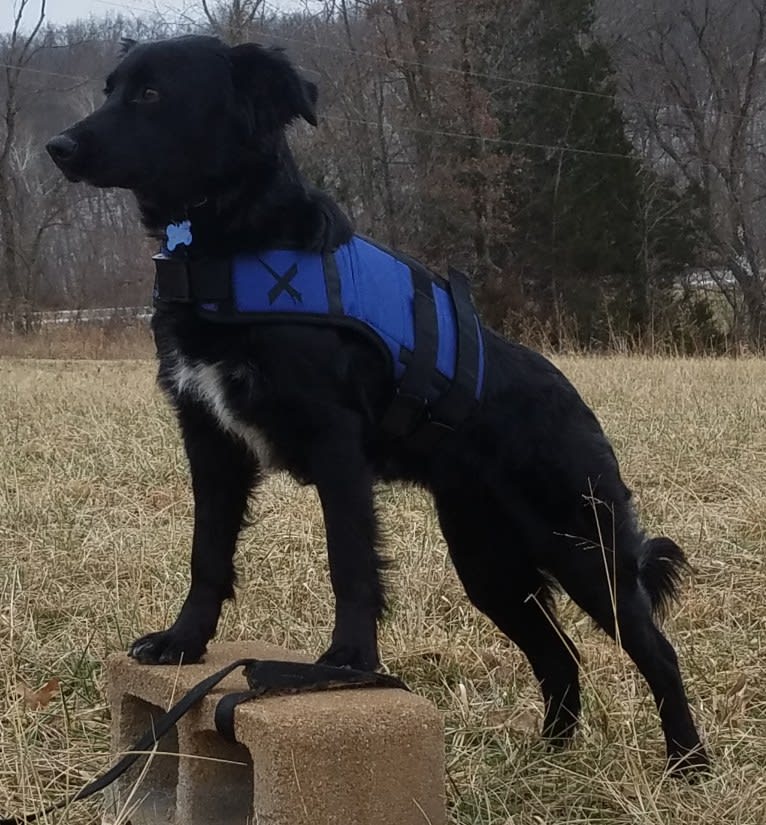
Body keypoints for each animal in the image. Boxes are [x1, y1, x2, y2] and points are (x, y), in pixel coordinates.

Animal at [46, 35, 708, 776]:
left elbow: (351, 560)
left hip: (583, 549)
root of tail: (576, 404)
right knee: (559, 656)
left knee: (656, 651)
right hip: (489, 564)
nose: (58, 147)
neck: (228, 243)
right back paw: (548, 758)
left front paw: (347, 665)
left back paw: (687, 762)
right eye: (110, 88)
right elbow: (208, 552)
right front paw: (184, 641)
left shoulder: (336, 444)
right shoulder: (210, 439)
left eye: (153, 94)